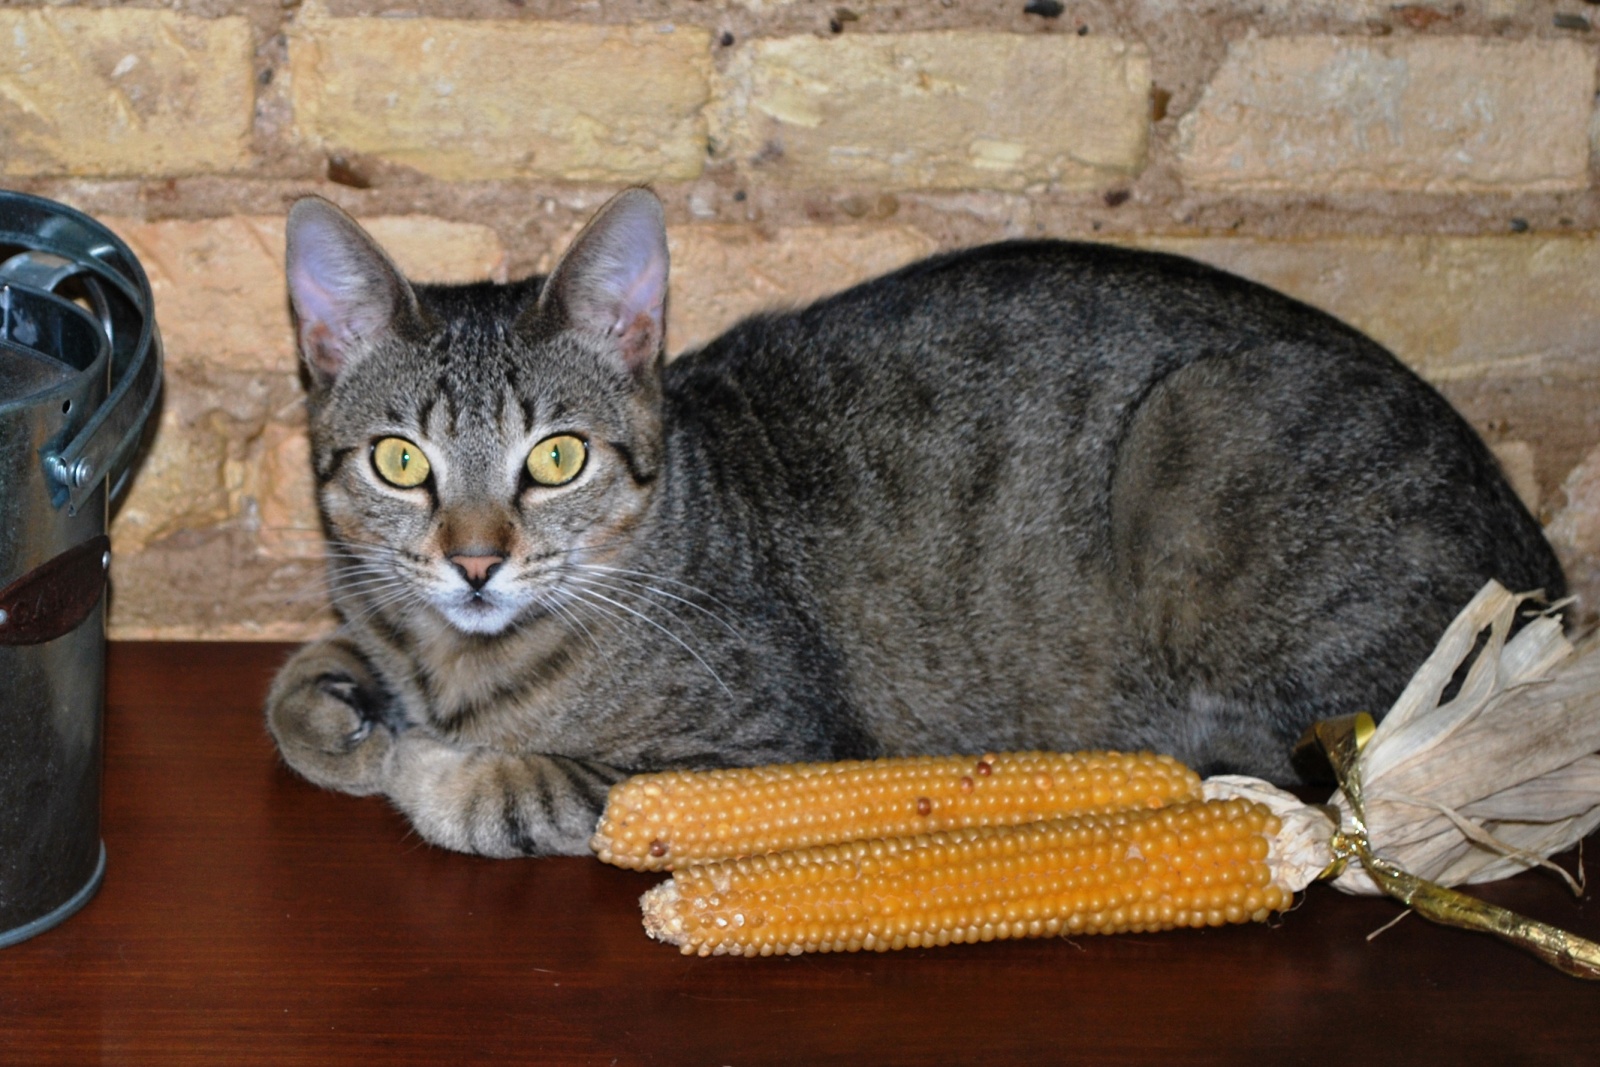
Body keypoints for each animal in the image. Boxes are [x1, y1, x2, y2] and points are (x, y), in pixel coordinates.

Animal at [265, 187, 1561, 857]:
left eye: (557, 455)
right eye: (399, 460)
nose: (476, 561)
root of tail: (1541, 570)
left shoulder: (754, 752)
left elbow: (513, 786)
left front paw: (418, 764)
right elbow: (299, 688)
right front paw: (338, 705)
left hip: (1213, 438)